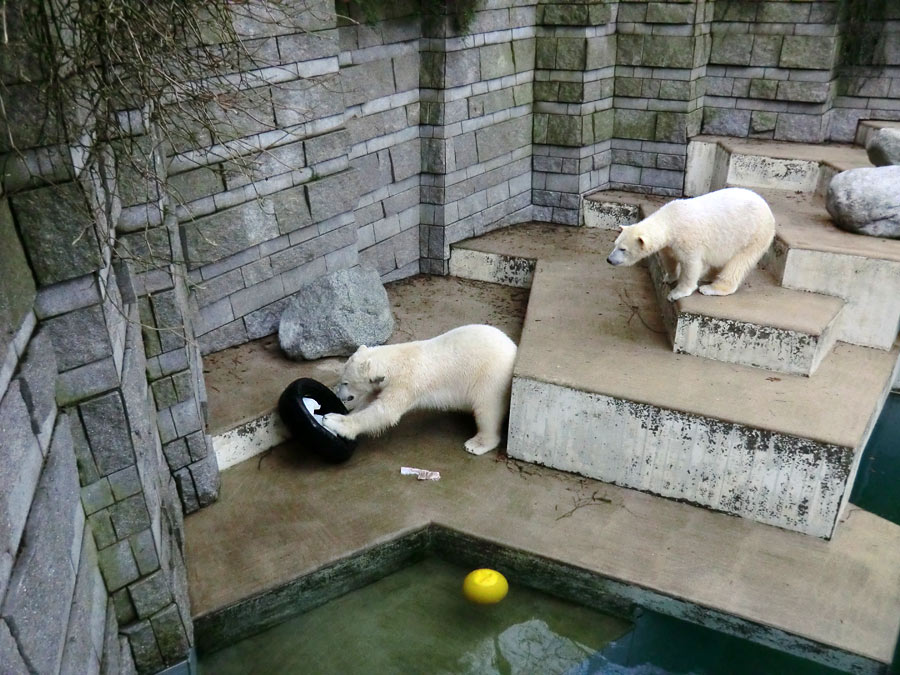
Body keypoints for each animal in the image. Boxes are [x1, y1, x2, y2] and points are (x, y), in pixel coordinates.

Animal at [324, 324, 520, 456]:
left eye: (345, 382)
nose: (339, 395)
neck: (395, 363)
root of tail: (513, 348)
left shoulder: (407, 383)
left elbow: (384, 412)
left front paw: (334, 421)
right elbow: (371, 400)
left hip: (491, 376)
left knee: (487, 409)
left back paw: (476, 444)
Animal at [608, 185, 776, 302]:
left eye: (623, 249)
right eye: (615, 244)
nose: (609, 259)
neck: (671, 219)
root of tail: (769, 211)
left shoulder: (689, 239)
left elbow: (691, 265)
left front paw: (676, 294)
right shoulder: (669, 244)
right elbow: (669, 258)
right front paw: (669, 277)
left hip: (753, 236)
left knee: (738, 264)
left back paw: (711, 288)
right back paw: (708, 276)